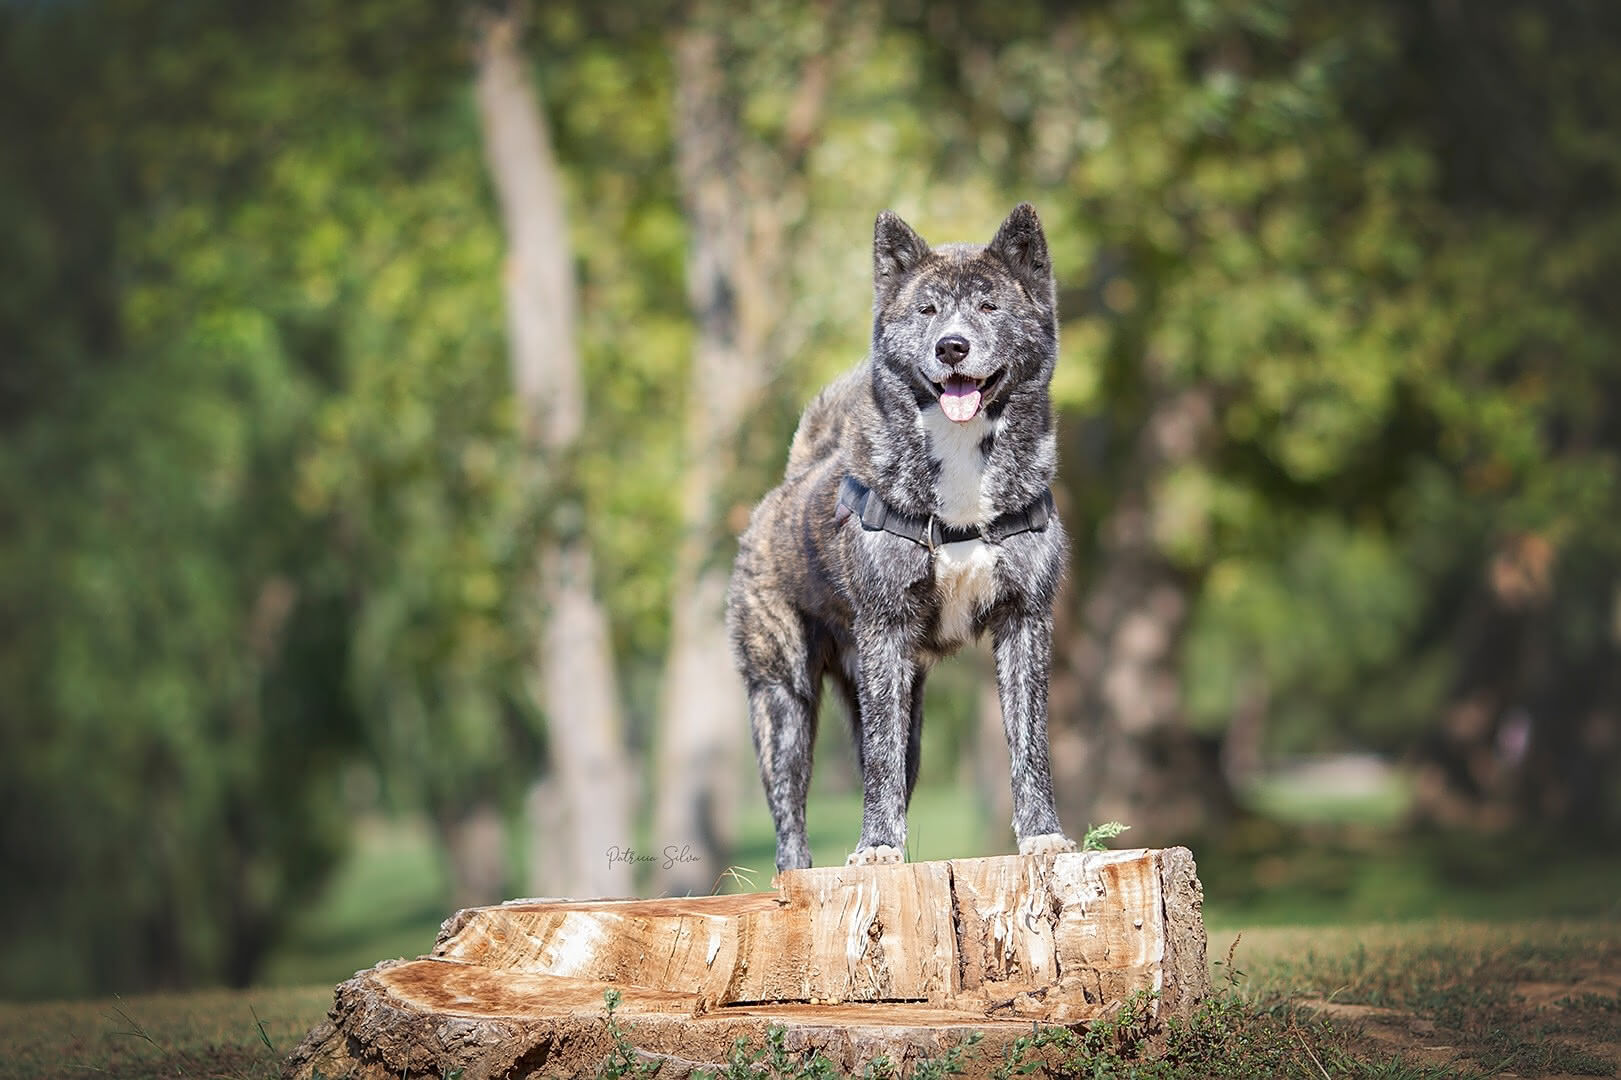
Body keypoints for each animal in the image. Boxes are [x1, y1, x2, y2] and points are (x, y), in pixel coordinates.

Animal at [726, 203, 1075, 870]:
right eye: (927, 310)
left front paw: (1042, 835)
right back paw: (801, 872)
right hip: (782, 697)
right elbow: (880, 763)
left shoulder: (1025, 622)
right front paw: (877, 849)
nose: (952, 346)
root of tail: (788, 485)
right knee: (792, 807)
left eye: (989, 305)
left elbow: (1031, 744)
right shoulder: (885, 632)